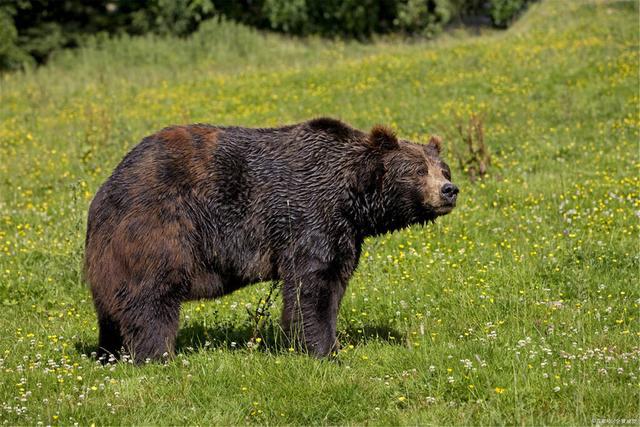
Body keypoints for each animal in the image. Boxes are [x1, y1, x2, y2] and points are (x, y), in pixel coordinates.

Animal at [85, 118, 458, 362]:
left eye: (444, 169)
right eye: (417, 170)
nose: (450, 190)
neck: (351, 201)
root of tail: (108, 184)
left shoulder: (344, 235)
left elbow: (335, 282)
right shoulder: (307, 216)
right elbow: (311, 287)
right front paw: (323, 351)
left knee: (112, 307)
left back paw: (108, 353)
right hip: (160, 226)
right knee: (151, 293)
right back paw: (158, 355)